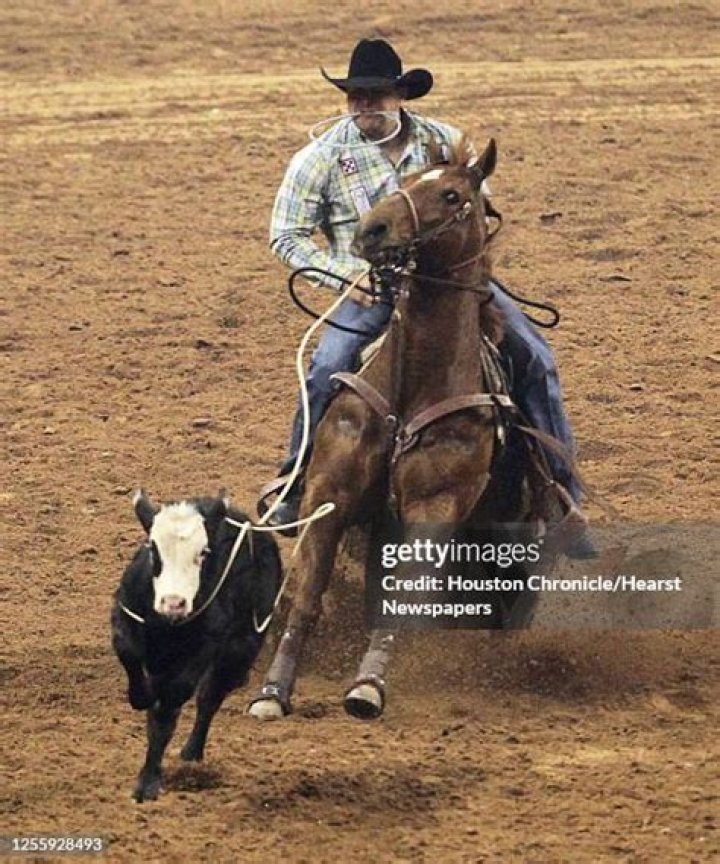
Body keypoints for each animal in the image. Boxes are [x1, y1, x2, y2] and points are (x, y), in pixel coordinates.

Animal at [111, 490, 282, 802]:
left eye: (202, 553)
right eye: (153, 549)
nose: (174, 603)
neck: (168, 623)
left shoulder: (204, 648)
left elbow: (168, 712)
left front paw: (148, 784)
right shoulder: (125, 613)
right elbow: (128, 653)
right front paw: (140, 696)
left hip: (240, 650)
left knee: (209, 698)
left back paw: (192, 752)